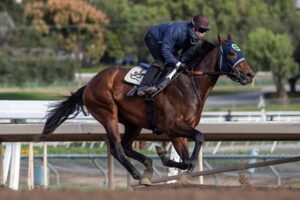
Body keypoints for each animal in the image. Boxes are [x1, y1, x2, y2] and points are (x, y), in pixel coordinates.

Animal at [41, 34, 254, 184]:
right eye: (232, 53)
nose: (249, 75)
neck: (189, 83)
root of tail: (89, 84)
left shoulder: (177, 133)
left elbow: (186, 158)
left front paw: (166, 158)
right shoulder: (172, 126)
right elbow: (199, 138)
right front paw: (173, 162)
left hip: (133, 123)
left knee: (126, 146)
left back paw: (148, 166)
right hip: (108, 114)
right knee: (117, 148)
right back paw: (138, 174)